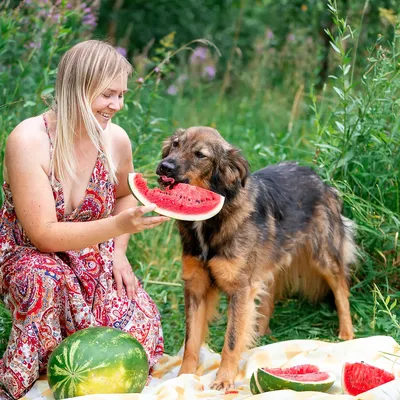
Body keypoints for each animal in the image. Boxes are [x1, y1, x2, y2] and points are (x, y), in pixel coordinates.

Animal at [156, 126, 356, 390]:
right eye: (176, 144)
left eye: (200, 155)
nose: (164, 166)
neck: (210, 220)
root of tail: (320, 179)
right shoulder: (196, 286)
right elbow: (191, 341)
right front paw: (184, 377)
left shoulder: (240, 288)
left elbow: (231, 340)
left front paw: (224, 379)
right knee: (267, 297)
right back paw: (259, 334)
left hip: (323, 256)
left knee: (341, 290)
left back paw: (347, 334)